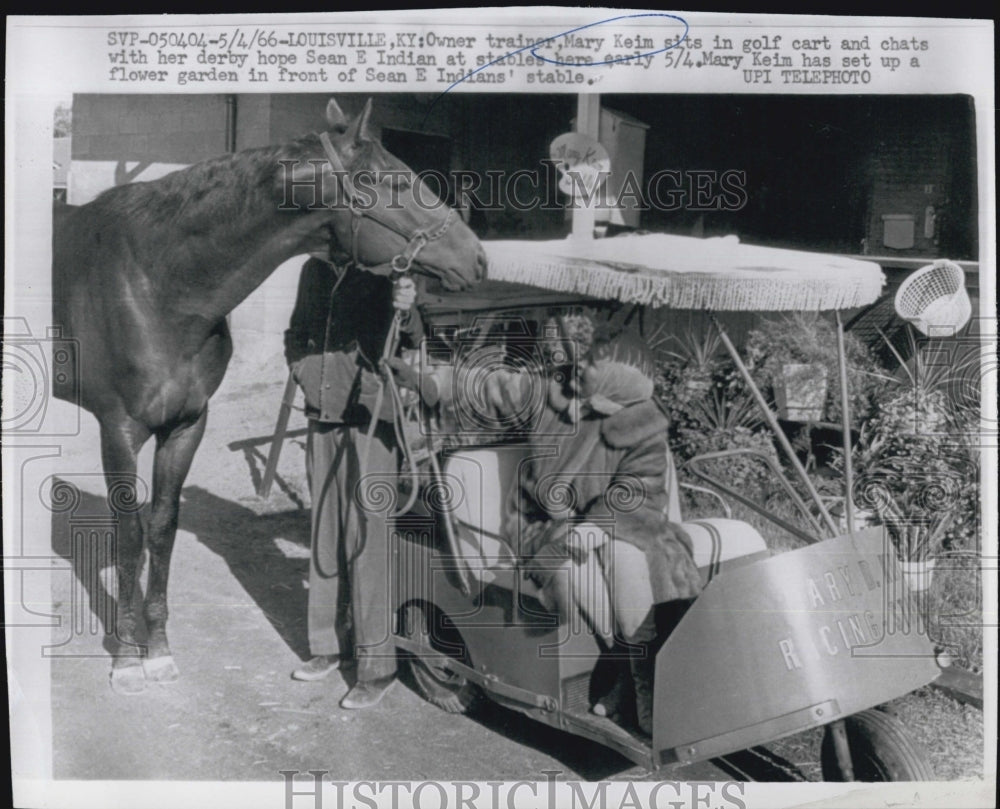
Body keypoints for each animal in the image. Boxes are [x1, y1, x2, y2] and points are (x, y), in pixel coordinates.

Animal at [52, 99, 486, 696]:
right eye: (395, 181)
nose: (478, 259)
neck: (151, 282)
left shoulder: (186, 424)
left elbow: (161, 528)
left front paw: (158, 651)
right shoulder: (117, 428)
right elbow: (129, 535)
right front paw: (125, 660)